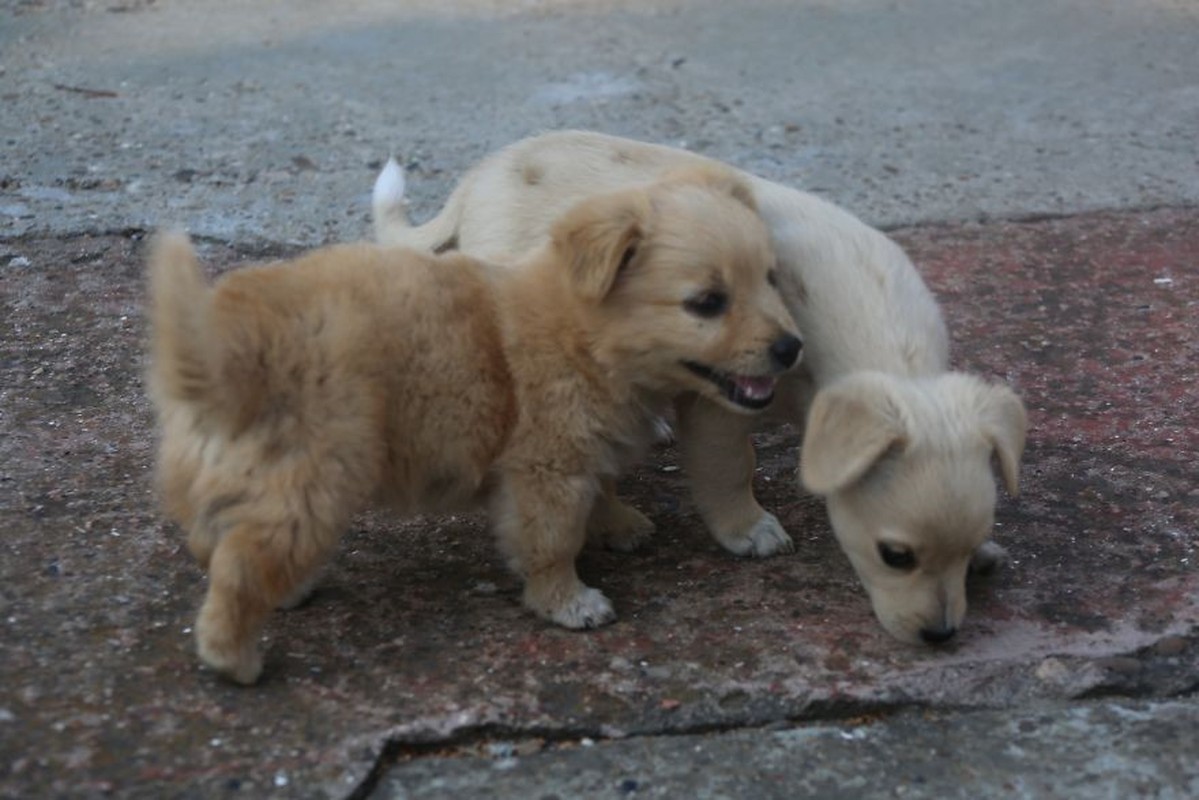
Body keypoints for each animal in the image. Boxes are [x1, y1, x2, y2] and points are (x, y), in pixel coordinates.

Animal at [145, 172, 800, 686]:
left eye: (771, 279)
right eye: (708, 302)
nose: (792, 348)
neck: (582, 326)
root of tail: (224, 352)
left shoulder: (582, 449)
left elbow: (602, 488)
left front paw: (618, 524)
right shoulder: (545, 469)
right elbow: (554, 542)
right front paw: (567, 603)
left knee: (214, 538)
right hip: (313, 484)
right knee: (237, 565)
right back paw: (234, 658)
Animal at [369, 131, 1026, 642]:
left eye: (968, 545)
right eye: (897, 556)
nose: (941, 636)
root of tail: (478, 177)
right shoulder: (723, 403)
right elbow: (727, 470)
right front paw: (747, 529)